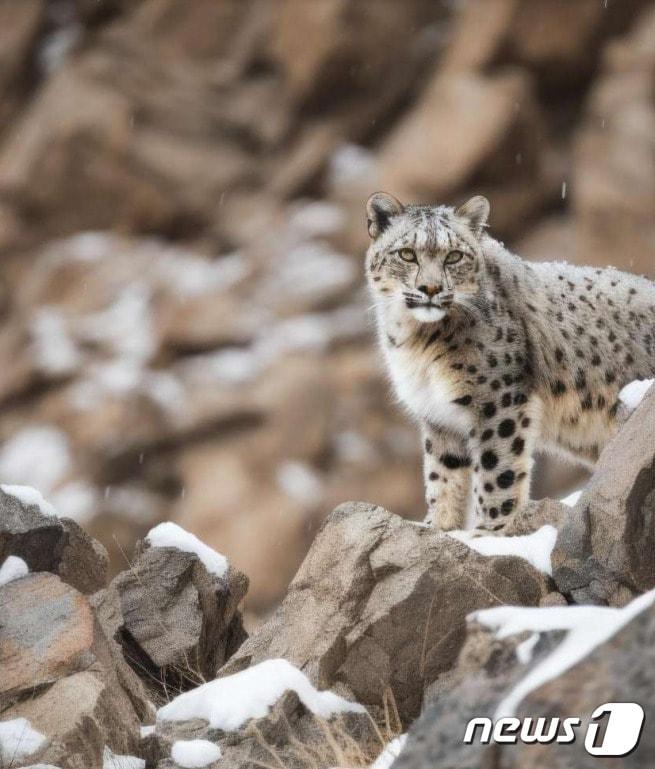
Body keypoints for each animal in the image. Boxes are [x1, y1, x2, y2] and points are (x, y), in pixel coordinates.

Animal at [364, 192, 655, 532]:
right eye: (407, 254)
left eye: (454, 256)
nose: (431, 289)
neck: (416, 341)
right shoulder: (438, 415)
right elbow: (443, 475)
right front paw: (440, 527)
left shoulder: (497, 401)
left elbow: (496, 472)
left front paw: (488, 532)